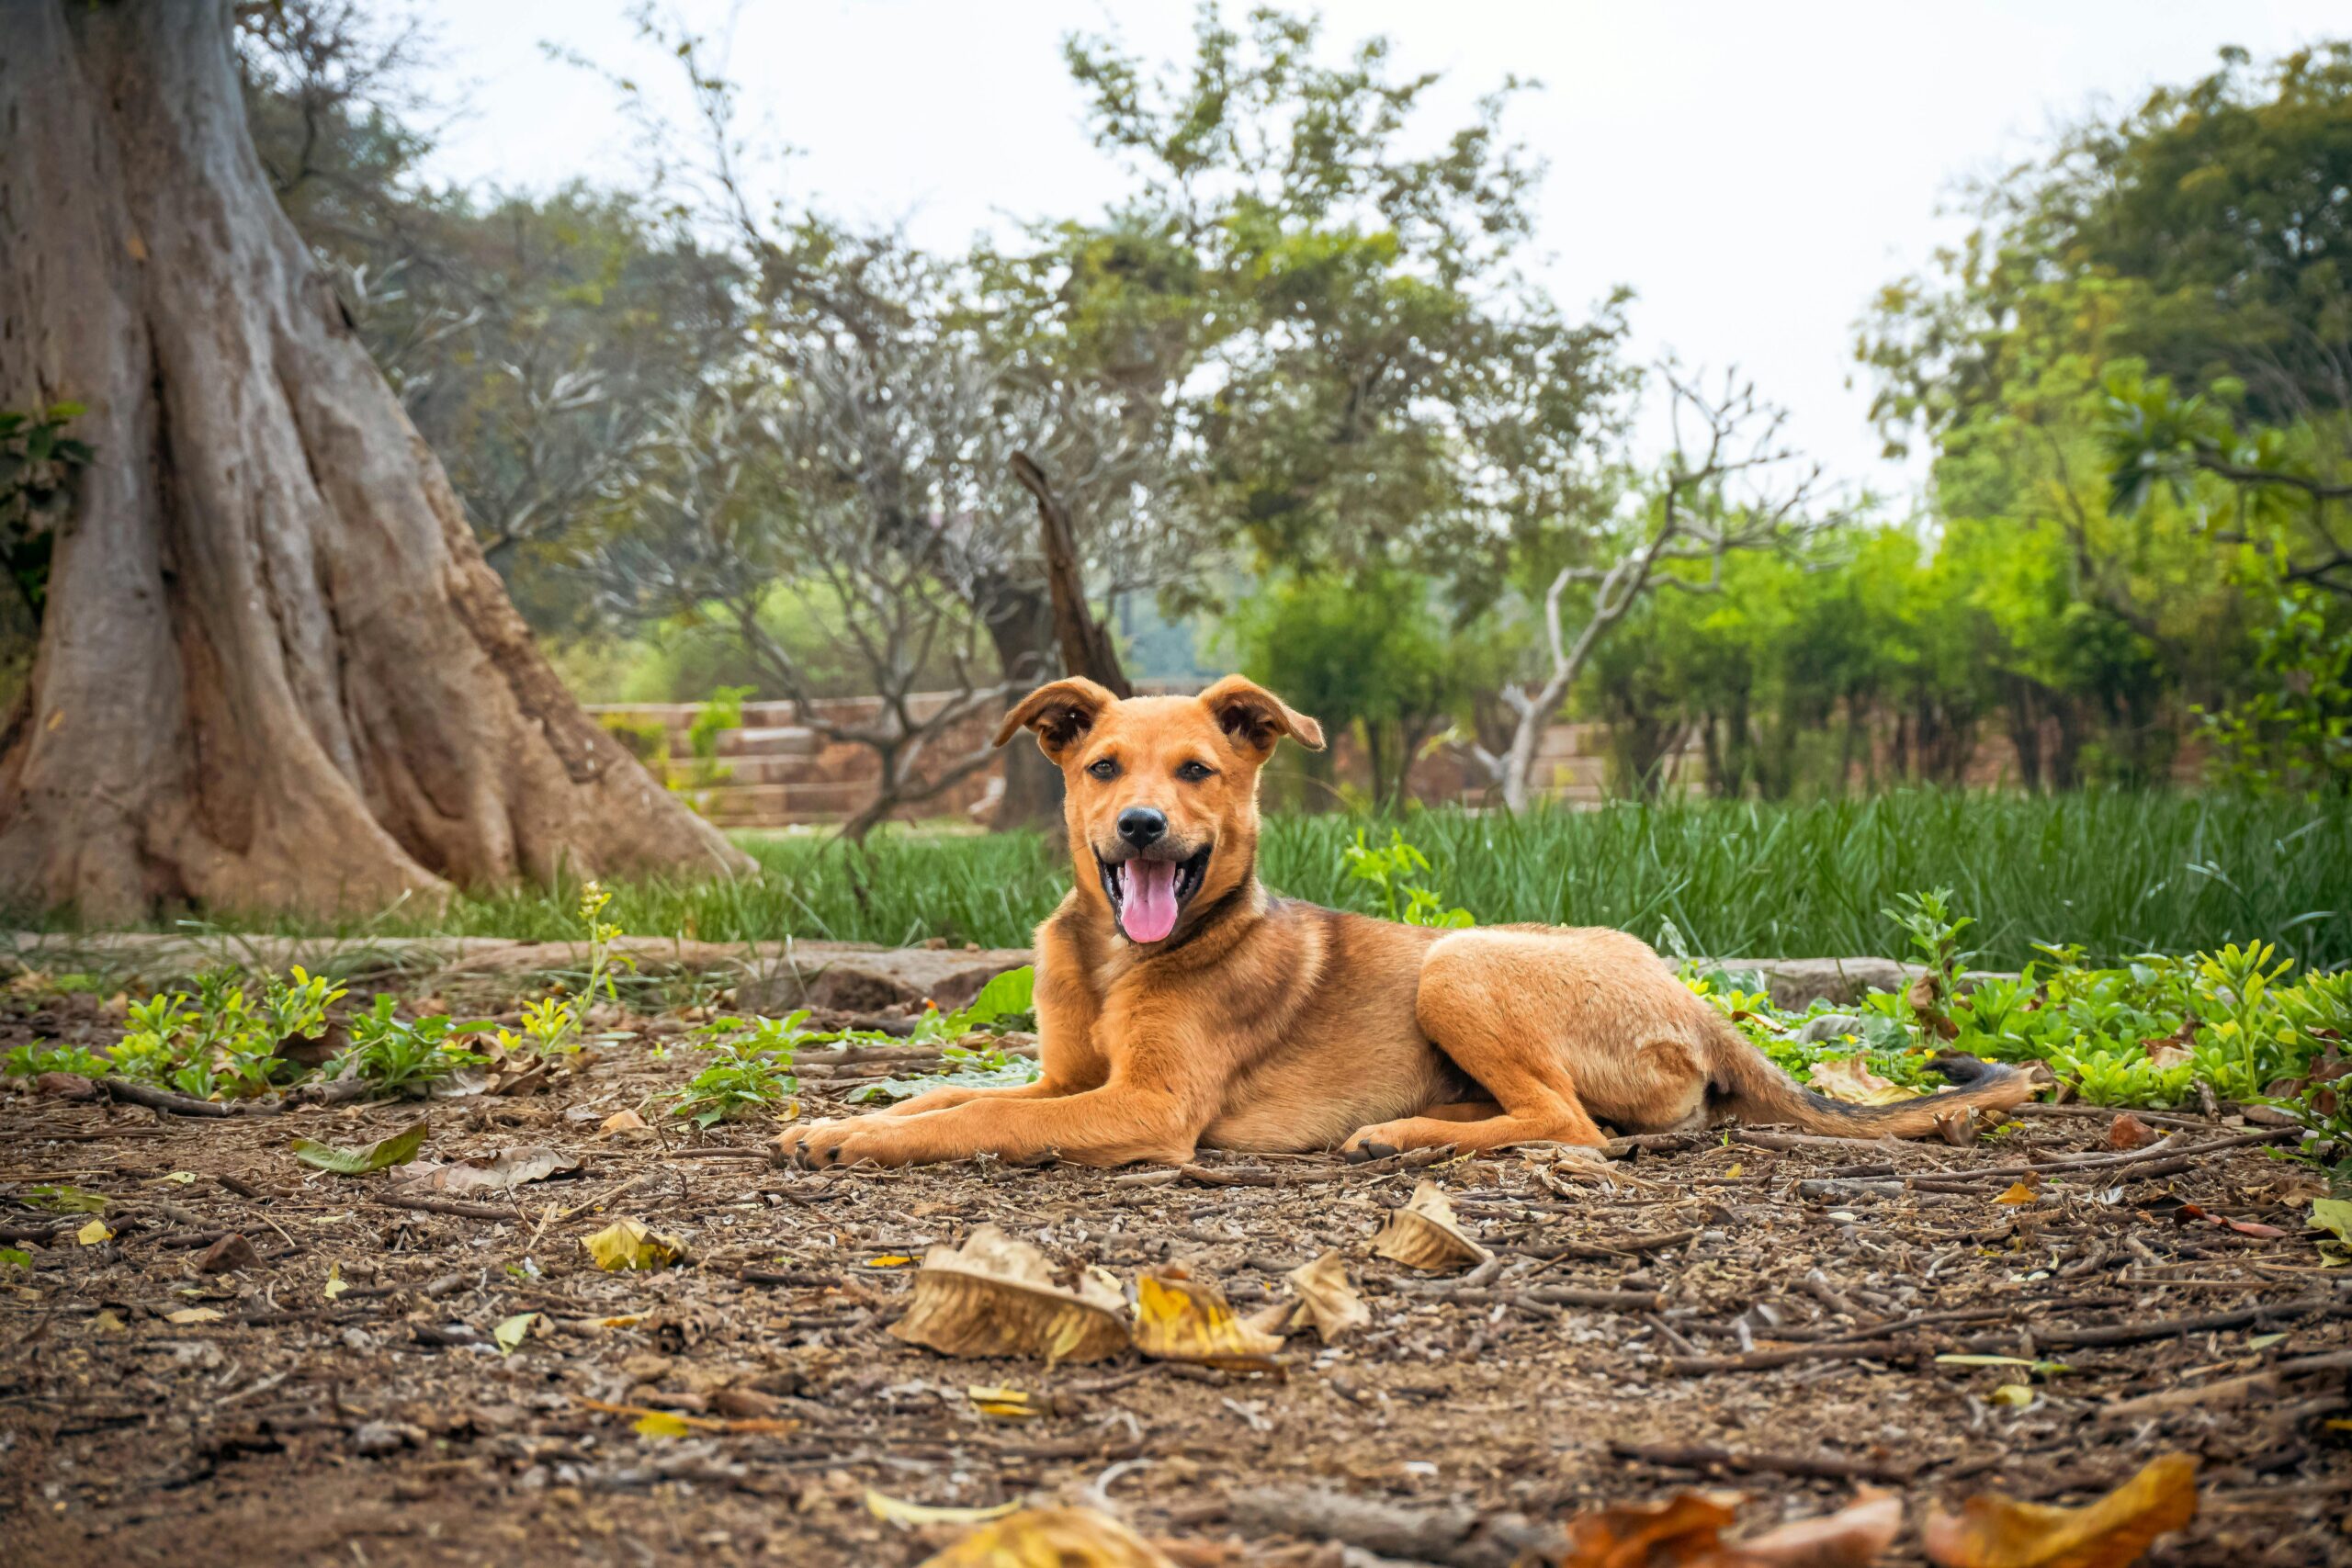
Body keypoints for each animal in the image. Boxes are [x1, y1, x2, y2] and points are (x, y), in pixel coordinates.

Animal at [780, 677, 2031, 1166]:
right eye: (1100, 768)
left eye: (1196, 771)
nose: (1139, 827)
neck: (1112, 960)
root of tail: (1694, 1000)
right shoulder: (1062, 1077)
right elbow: (948, 1095)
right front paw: (838, 1119)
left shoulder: (1147, 1107)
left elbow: (971, 1118)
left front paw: (858, 1139)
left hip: (1461, 965)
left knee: (1571, 1127)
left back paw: (1400, 1136)